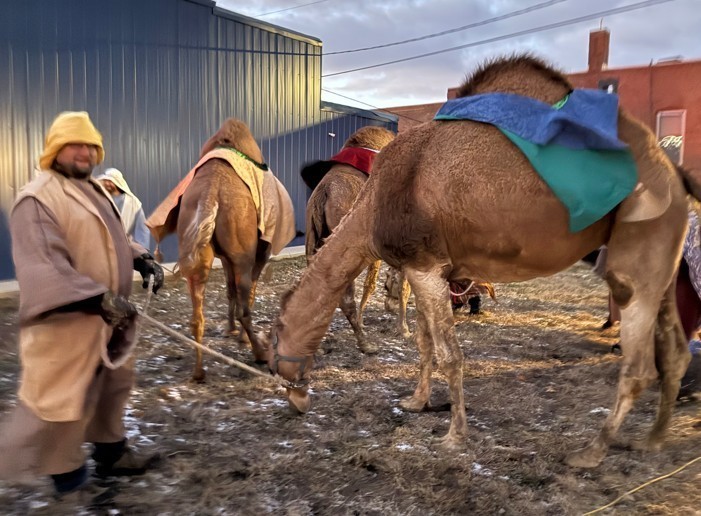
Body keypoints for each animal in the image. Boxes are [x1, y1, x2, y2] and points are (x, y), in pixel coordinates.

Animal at [303, 126, 411, 346]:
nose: (389, 305)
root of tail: (325, 192)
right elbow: (390, 284)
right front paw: (404, 329)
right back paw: (364, 342)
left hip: (312, 232)